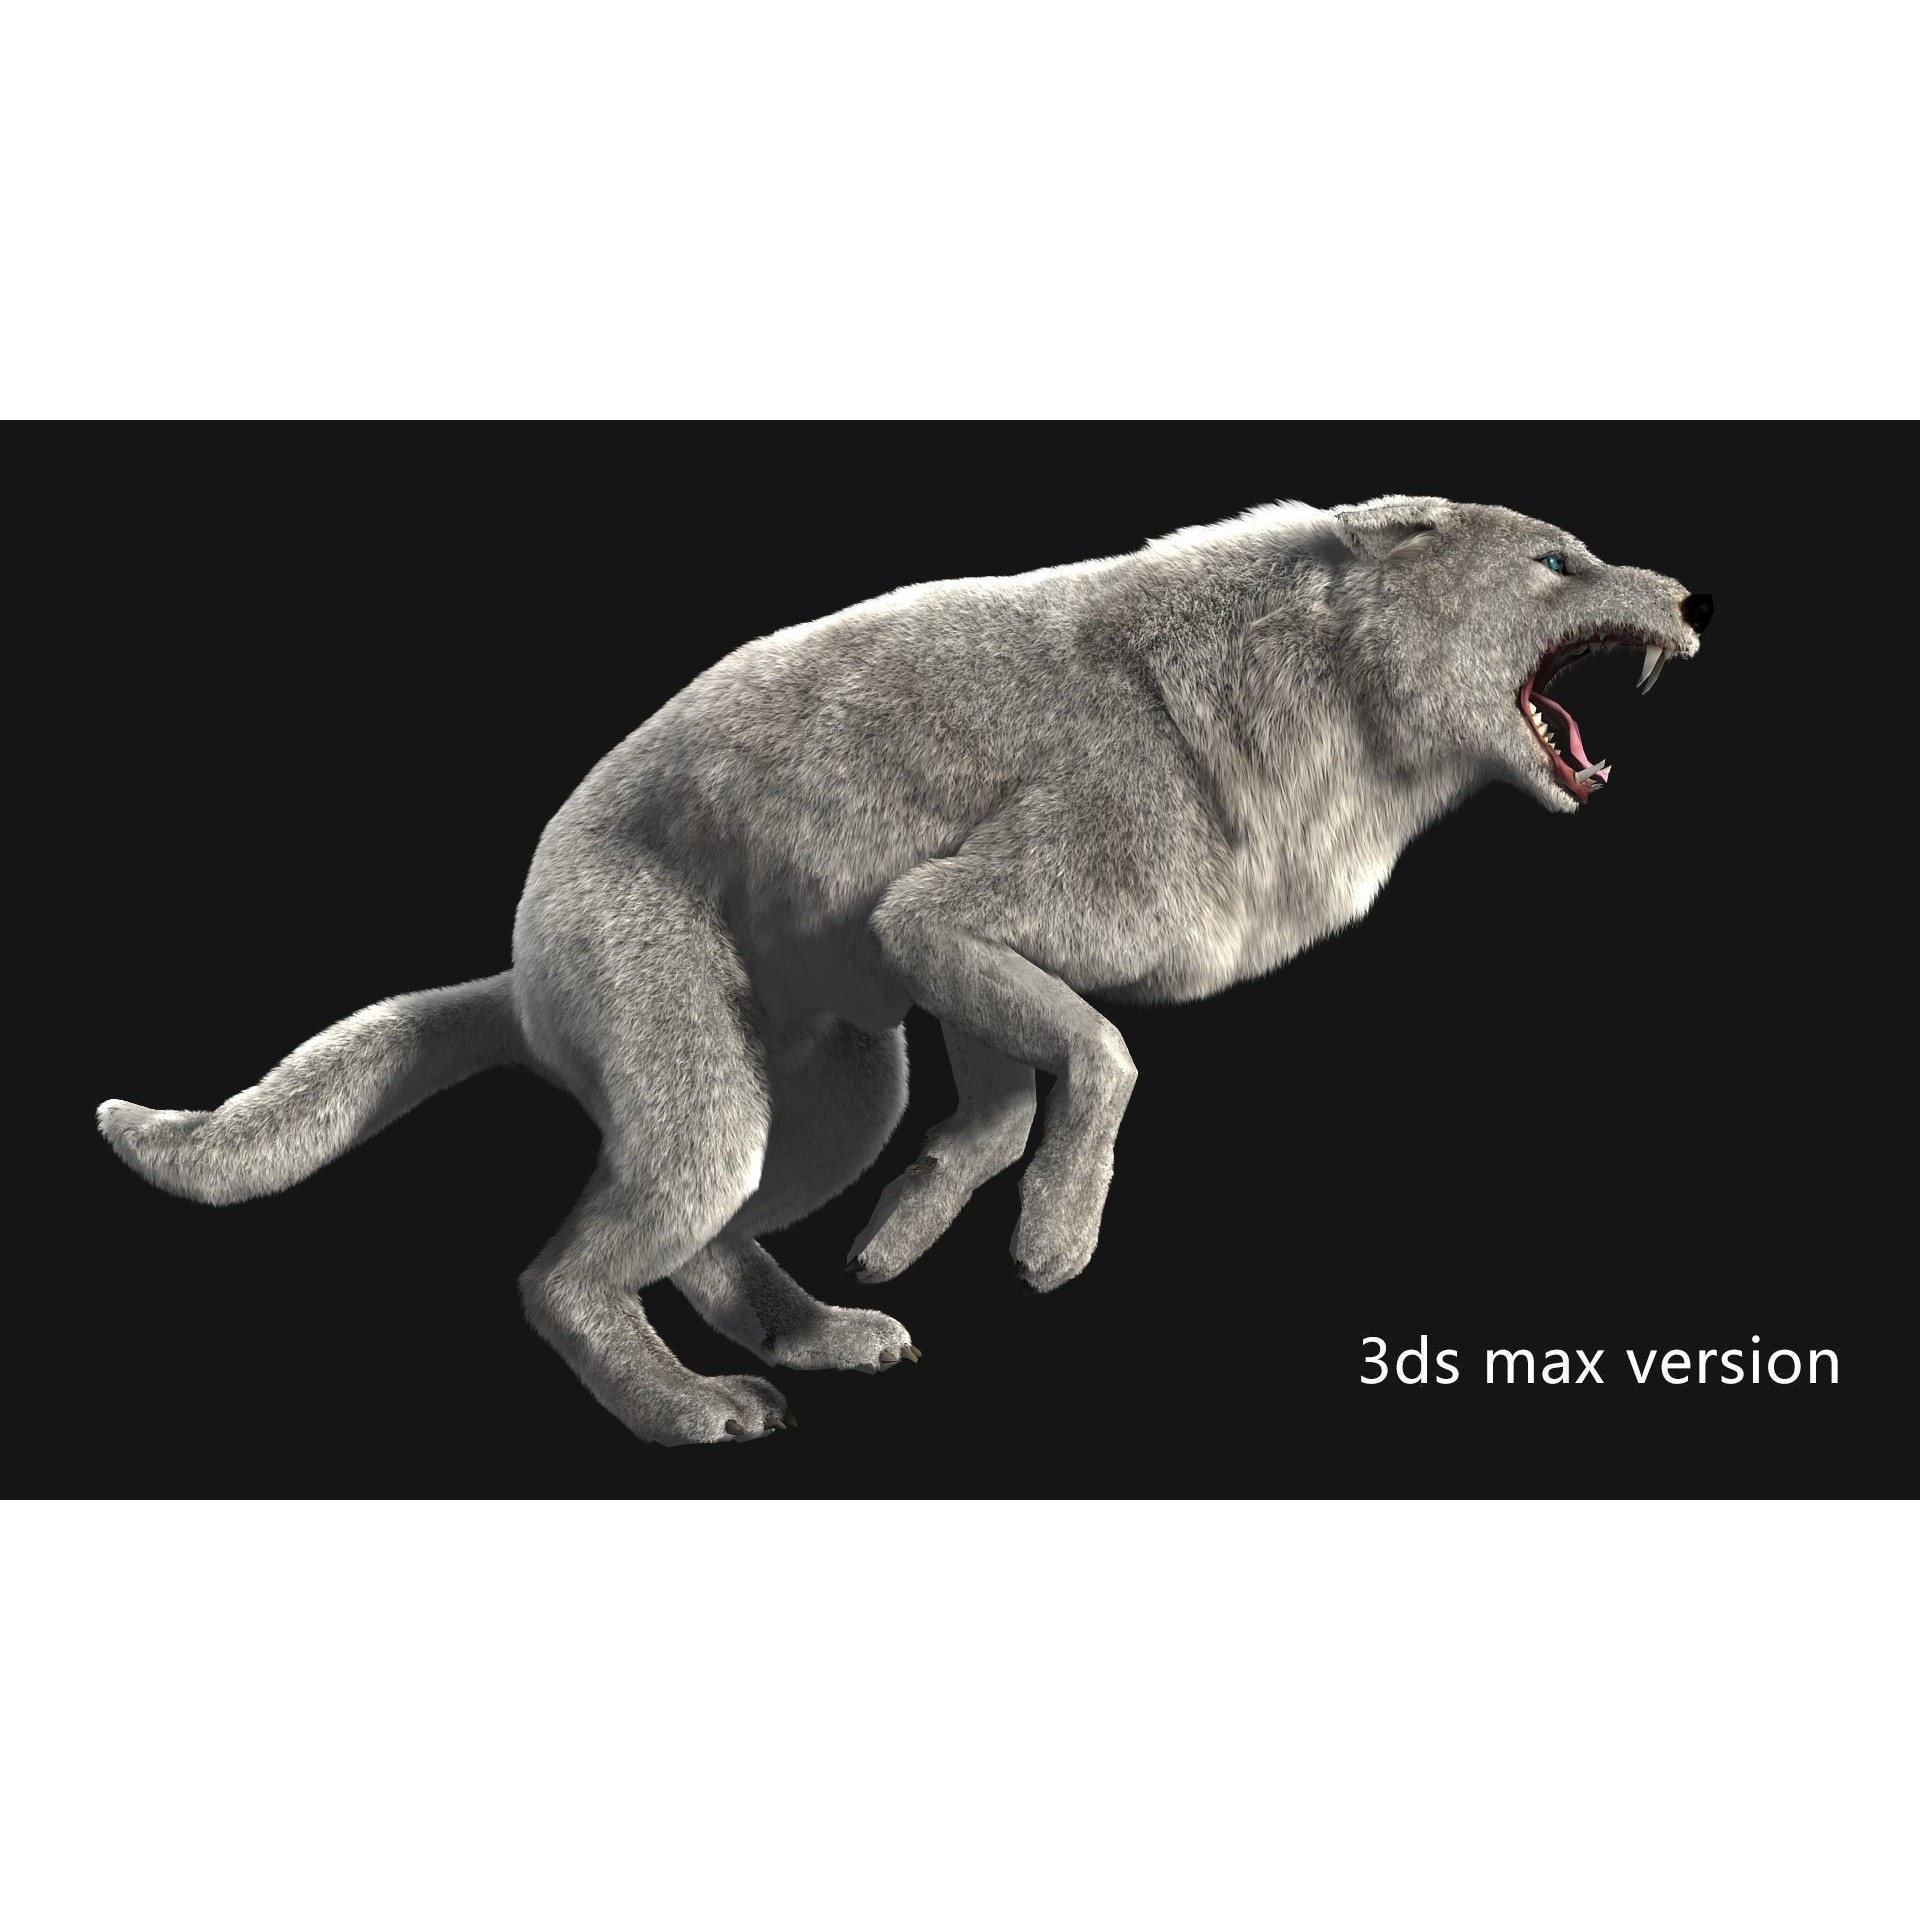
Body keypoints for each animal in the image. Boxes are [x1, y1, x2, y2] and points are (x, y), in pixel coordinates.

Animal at [98, 497, 1710, 1445]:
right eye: (1559, 562)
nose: (1692, 596)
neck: (1308, 725)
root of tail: (514, 976)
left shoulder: (939, 962)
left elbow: (1009, 1103)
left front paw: (913, 1235)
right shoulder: (947, 918)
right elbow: (1107, 1061)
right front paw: (1054, 1244)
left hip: (836, 1102)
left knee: (704, 1246)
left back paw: (822, 1327)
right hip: (713, 1110)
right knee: (562, 1273)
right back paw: (696, 1408)